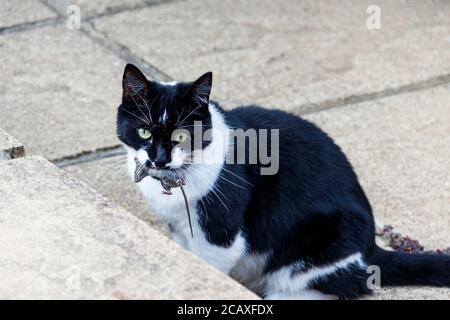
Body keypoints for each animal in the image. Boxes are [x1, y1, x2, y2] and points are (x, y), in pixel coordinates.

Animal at [118, 64, 450, 300]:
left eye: (181, 136)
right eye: (144, 131)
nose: (159, 159)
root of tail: (371, 247)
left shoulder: (222, 235)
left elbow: (210, 265)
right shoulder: (178, 229)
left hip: (323, 243)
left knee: (339, 285)